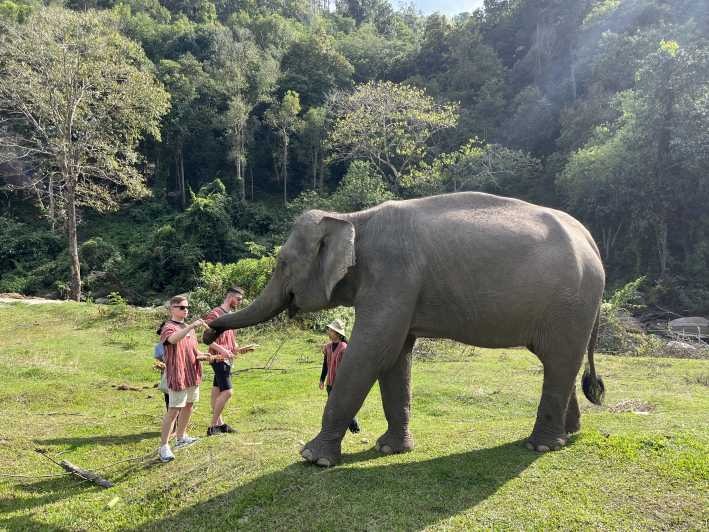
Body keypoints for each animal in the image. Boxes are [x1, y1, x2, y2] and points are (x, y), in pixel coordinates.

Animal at [203, 191, 604, 466]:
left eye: (283, 262)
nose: (208, 334)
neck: (352, 218)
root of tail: (592, 241)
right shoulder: (398, 288)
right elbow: (396, 357)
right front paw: (389, 449)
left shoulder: (393, 275)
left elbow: (372, 350)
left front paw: (312, 458)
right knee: (559, 363)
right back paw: (568, 435)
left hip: (571, 303)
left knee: (559, 360)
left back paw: (541, 445)